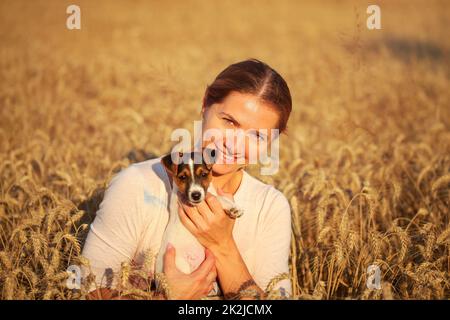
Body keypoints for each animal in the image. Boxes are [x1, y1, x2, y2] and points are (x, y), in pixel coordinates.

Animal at [156, 149, 246, 296]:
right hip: (181, 265)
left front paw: (233, 208)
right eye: (182, 177)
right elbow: (217, 198)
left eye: (203, 174)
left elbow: (216, 196)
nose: (196, 195)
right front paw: (232, 207)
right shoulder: (185, 201)